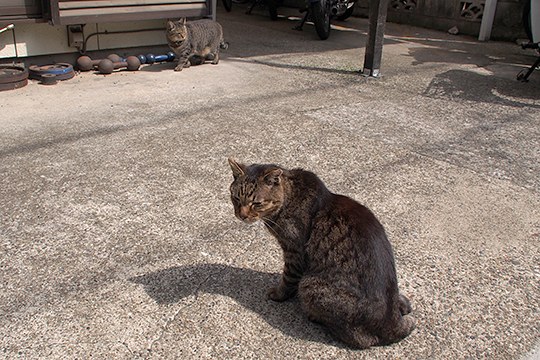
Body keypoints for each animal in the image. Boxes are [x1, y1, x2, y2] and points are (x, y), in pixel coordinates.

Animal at [226, 158, 416, 348]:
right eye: (236, 198)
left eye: (256, 203)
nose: (241, 215)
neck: (288, 198)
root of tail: (392, 324)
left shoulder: (294, 253)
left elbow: (288, 279)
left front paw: (279, 294)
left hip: (309, 285)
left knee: (359, 338)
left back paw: (315, 316)